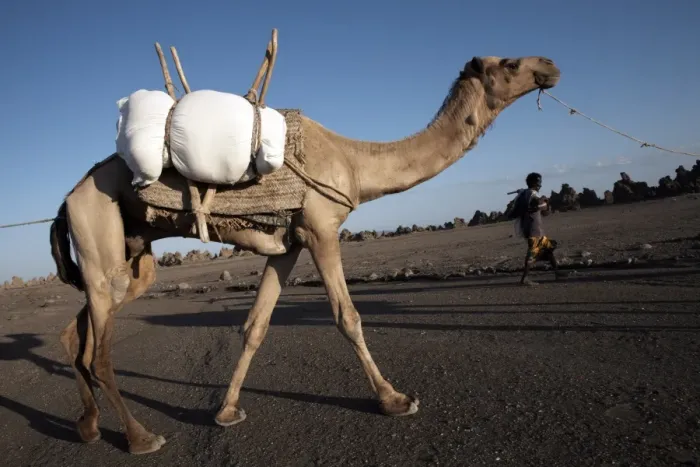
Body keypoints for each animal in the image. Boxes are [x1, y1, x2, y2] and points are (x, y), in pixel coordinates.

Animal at [49, 54, 560, 455]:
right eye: (510, 63)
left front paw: (227, 411)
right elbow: (347, 316)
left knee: (78, 335)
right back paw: (140, 437)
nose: (551, 66)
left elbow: (256, 325)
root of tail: (69, 198)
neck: (355, 163)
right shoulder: (321, 229)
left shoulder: (287, 246)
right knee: (98, 352)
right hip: (99, 231)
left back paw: (88, 425)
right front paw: (395, 400)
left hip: (131, 256)